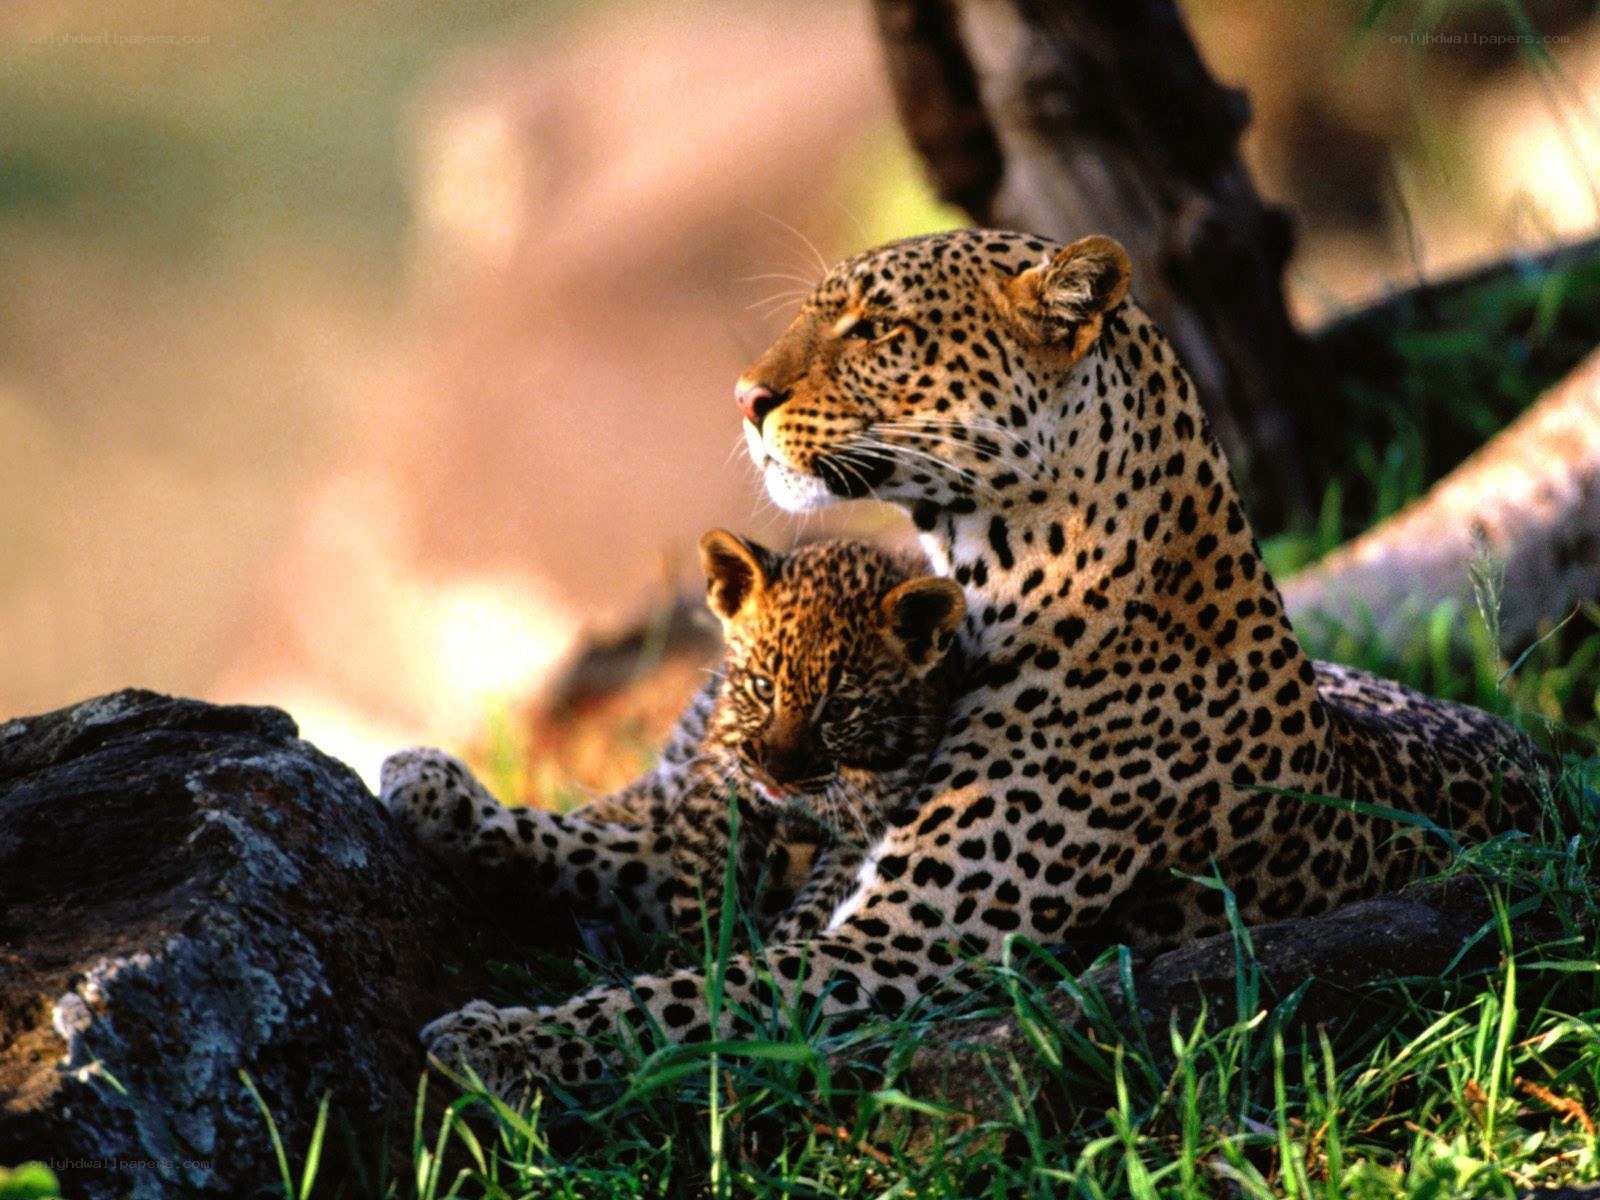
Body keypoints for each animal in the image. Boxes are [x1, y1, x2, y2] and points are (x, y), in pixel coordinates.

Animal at [399, 229, 1550, 1101]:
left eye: (877, 330)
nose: (742, 397)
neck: (994, 578)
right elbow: (606, 849)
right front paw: (436, 789)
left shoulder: (898, 950)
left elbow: (681, 999)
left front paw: (502, 1040)